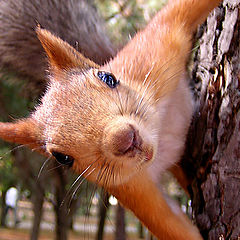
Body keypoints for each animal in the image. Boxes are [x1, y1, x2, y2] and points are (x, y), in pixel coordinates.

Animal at [0, 0, 221, 238]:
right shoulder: (130, 186)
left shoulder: (155, 52)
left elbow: (178, 14)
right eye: (62, 158)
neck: (160, 136)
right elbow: (170, 226)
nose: (125, 139)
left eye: (108, 78)